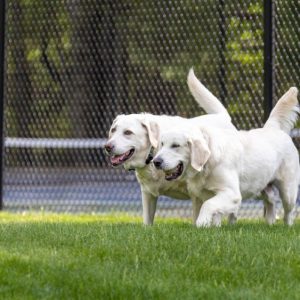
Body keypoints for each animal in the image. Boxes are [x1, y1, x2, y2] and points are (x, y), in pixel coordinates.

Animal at [105, 69, 237, 225]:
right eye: (113, 130)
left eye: (128, 132)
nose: (107, 146)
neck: (154, 151)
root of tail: (222, 117)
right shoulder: (147, 194)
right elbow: (147, 221)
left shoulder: (196, 194)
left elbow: (199, 215)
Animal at [154, 88, 298, 226]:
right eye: (162, 144)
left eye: (175, 145)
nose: (156, 161)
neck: (208, 163)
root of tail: (273, 128)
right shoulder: (201, 195)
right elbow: (207, 213)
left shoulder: (232, 194)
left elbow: (208, 205)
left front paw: (202, 223)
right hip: (262, 187)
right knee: (271, 202)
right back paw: (269, 223)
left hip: (288, 192)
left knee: (288, 212)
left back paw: (287, 226)